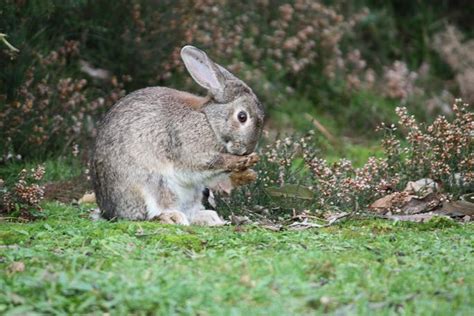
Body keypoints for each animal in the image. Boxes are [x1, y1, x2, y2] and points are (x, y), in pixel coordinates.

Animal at [90, 45, 264, 226]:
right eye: (242, 117)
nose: (247, 149)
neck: (209, 120)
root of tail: (109, 212)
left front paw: (249, 173)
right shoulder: (190, 151)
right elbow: (206, 163)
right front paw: (241, 162)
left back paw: (209, 218)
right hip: (152, 184)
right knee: (150, 213)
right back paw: (173, 217)